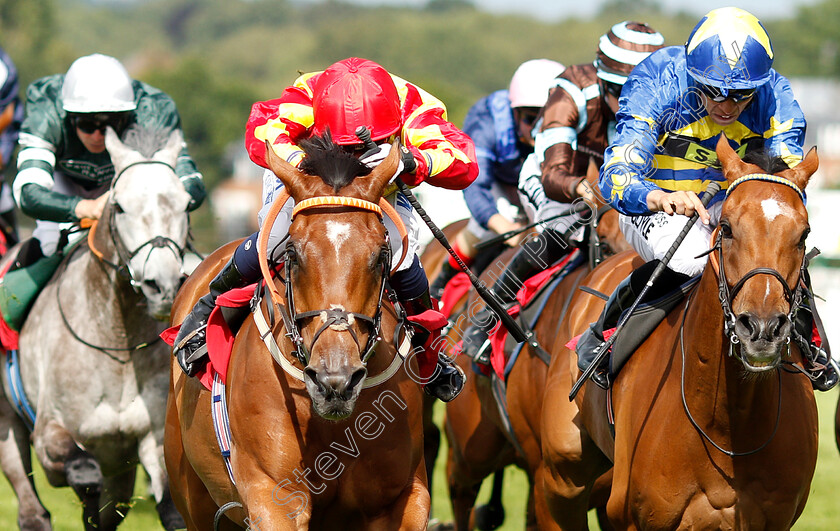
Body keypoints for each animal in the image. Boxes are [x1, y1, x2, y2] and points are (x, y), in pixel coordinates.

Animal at [0, 127, 191, 528]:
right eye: (119, 206)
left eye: (184, 204)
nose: (162, 286)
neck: (116, 340)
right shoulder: (50, 433)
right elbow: (84, 473)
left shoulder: (149, 440)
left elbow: (171, 508)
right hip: (7, 423)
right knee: (33, 511)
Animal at [165, 135, 430, 528]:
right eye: (293, 252)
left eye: (380, 254)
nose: (335, 380)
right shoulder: (274, 495)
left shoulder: (405, 497)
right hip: (191, 494)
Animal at [540, 135, 820, 528]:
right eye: (727, 228)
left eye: (803, 233)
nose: (762, 327)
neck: (725, 424)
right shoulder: (632, 515)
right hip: (561, 476)